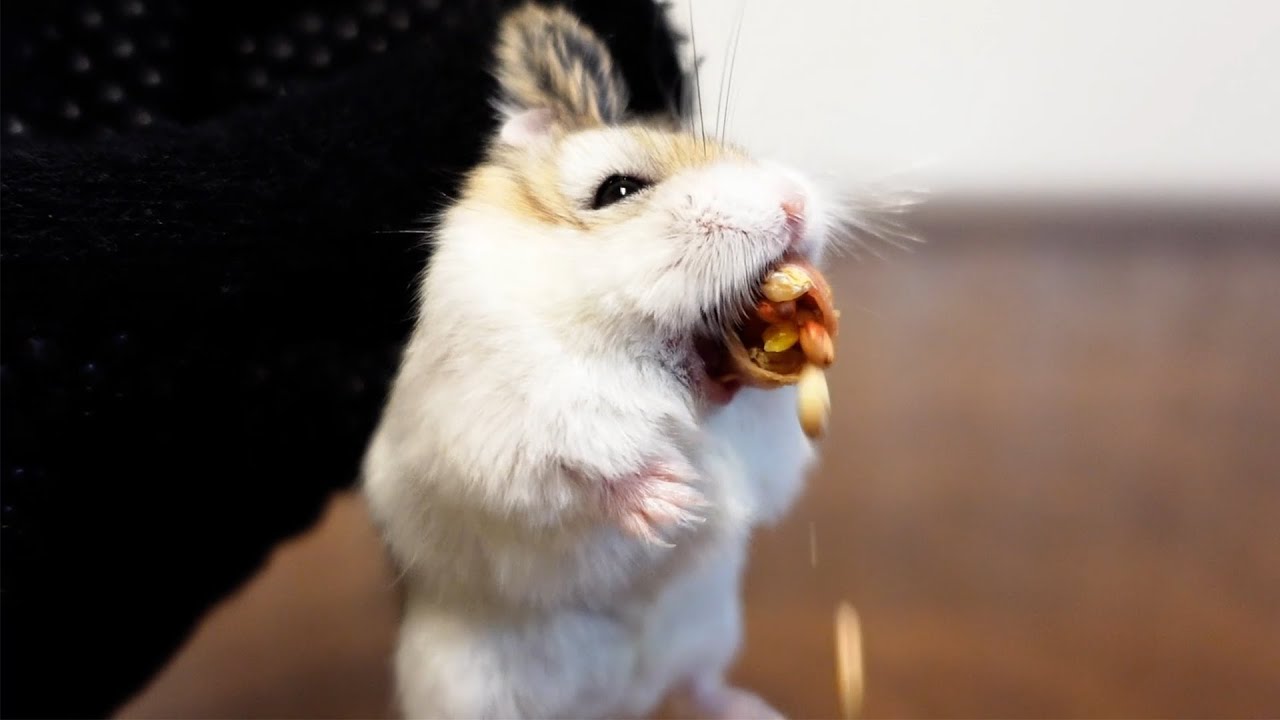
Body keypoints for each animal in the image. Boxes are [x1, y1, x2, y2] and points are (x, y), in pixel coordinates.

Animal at [363, 2, 839, 712]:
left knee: (698, 685)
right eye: (616, 190)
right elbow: (574, 471)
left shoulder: (767, 450)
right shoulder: (489, 436)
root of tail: (626, 702)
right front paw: (676, 500)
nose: (796, 204)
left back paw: (755, 711)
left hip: (712, 629)